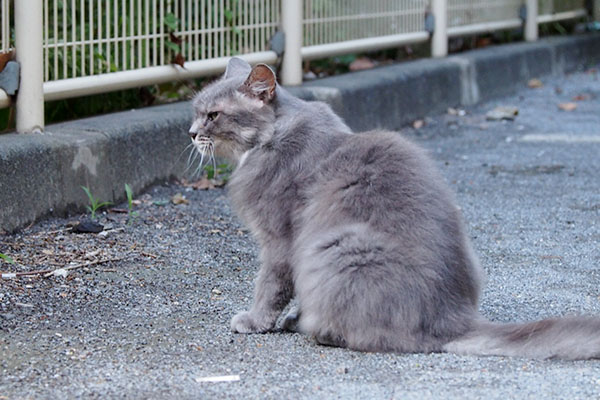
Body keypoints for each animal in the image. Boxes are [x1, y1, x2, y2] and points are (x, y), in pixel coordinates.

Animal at [190, 57, 600, 360]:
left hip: (339, 248)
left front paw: (255, 320)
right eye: (196, 112)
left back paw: (316, 329)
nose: (192, 133)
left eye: (213, 115)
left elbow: (269, 287)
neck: (274, 137)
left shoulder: (279, 240)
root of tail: (453, 319)